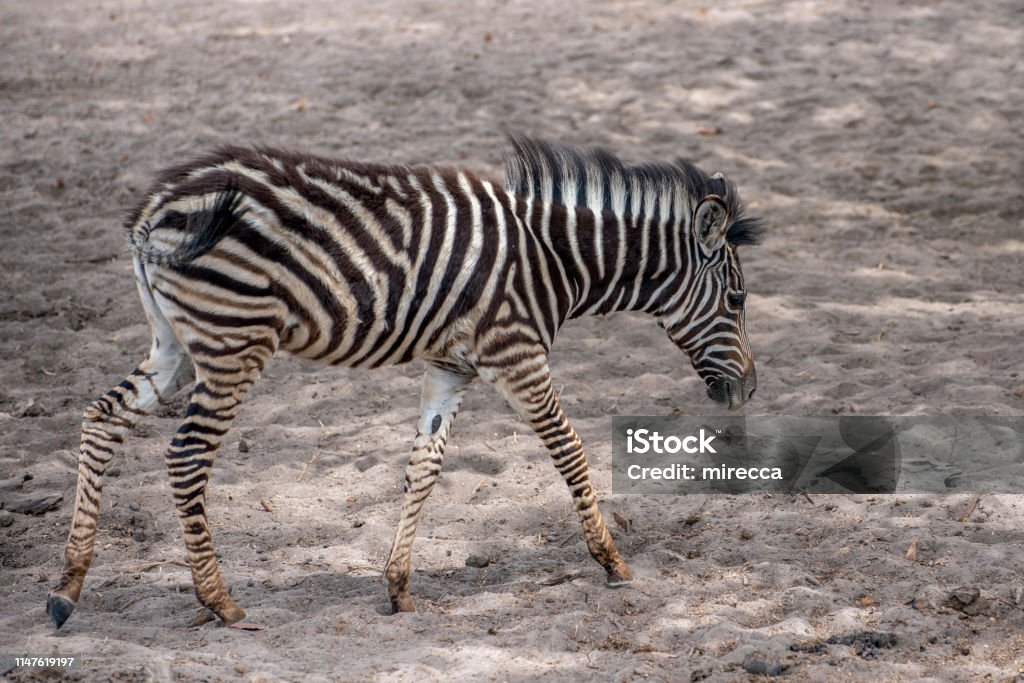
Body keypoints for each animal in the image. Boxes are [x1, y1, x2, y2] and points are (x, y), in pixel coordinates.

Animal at [46, 135, 761, 630]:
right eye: (737, 299)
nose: (749, 392)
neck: (555, 258)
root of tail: (155, 207)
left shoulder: (453, 363)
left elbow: (425, 466)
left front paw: (397, 586)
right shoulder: (515, 352)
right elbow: (570, 451)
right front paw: (611, 561)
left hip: (173, 344)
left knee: (100, 418)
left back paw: (66, 588)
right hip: (232, 343)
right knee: (186, 457)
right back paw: (219, 602)